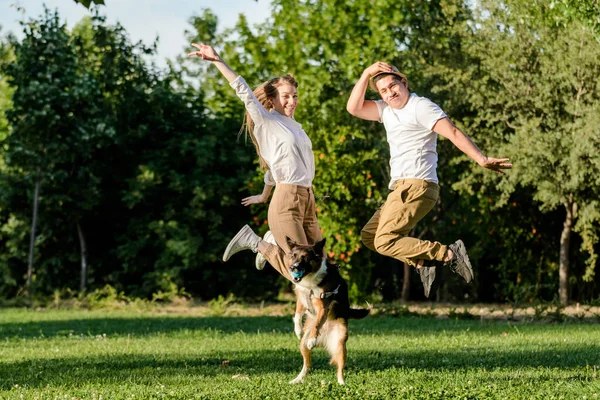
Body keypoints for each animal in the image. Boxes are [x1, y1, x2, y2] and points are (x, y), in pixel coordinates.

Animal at [284, 238, 368, 384]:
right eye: (293, 256)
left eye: (305, 257)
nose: (293, 267)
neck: (310, 282)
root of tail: (324, 336)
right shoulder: (301, 297)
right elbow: (297, 315)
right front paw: (298, 330)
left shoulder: (323, 306)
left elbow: (317, 323)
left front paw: (312, 339)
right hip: (302, 346)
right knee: (307, 365)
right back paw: (298, 379)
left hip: (340, 343)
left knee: (340, 368)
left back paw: (342, 383)